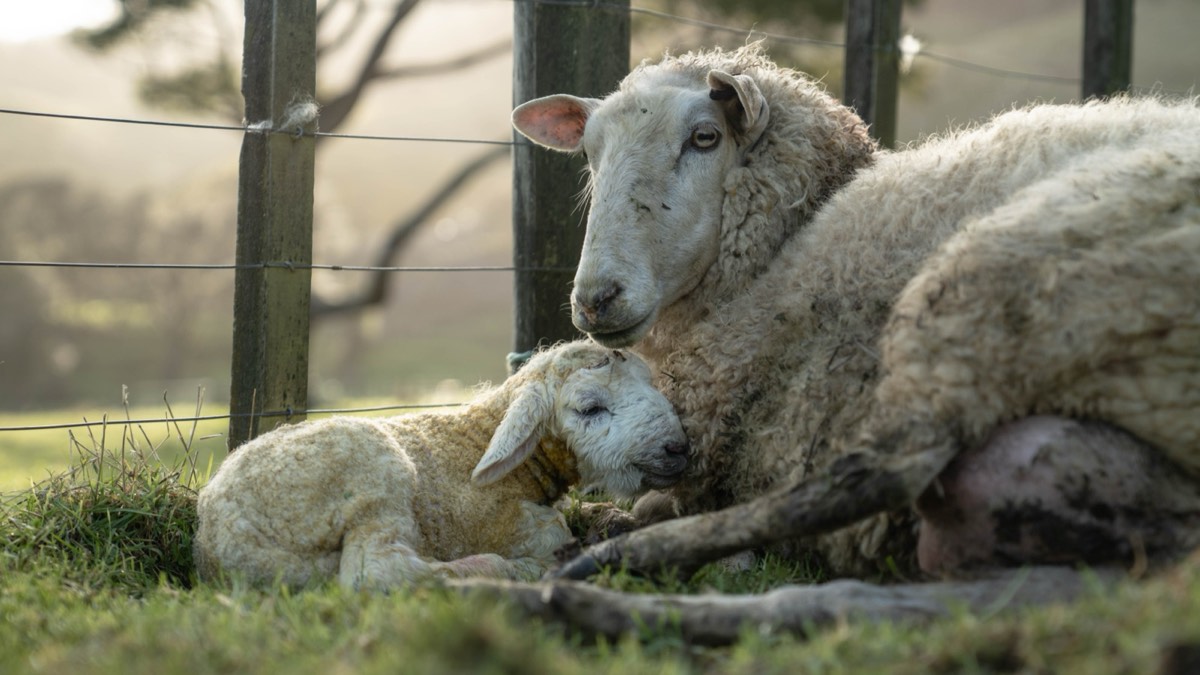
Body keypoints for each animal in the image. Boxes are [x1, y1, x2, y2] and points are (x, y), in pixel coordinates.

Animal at [193, 341, 689, 589]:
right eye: (589, 408)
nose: (678, 448)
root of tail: (223, 541)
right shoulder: (518, 525)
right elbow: (553, 537)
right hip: (375, 478)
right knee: (374, 573)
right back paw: (489, 571)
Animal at [511, 43, 1200, 579]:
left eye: (704, 137)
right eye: (589, 154)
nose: (595, 298)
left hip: (996, 280)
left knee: (876, 476)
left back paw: (610, 562)